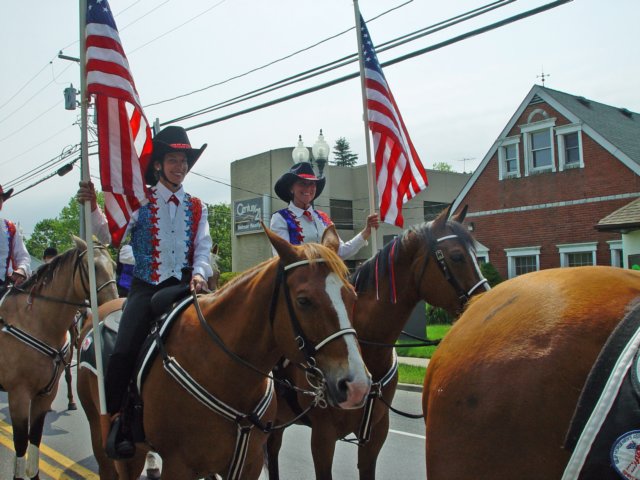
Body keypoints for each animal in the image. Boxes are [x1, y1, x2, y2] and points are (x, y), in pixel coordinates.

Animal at [0, 237, 117, 480]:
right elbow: (21, 443)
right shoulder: (18, 394)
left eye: (114, 266)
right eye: (92, 267)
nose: (113, 302)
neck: (37, 322)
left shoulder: (46, 393)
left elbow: (34, 440)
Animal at [78, 226, 372, 480]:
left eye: (353, 296)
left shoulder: (249, 463)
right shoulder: (178, 466)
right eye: (303, 300)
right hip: (107, 438)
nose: (357, 385)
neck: (224, 372)